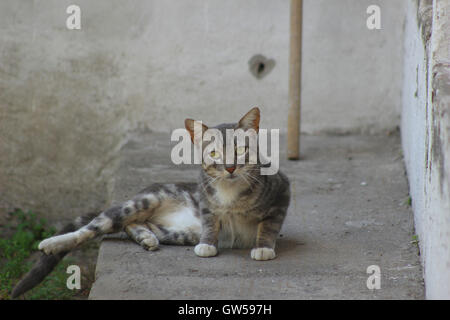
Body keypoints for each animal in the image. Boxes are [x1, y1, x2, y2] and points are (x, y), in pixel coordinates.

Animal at [12, 107, 292, 298]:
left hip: (176, 232)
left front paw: (263, 247)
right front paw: (208, 244)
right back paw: (52, 242)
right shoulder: (205, 200)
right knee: (95, 226)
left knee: (132, 225)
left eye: (241, 150)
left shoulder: (282, 192)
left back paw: (146, 237)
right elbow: (211, 219)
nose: (231, 168)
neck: (230, 192)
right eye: (214, 153)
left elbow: (269, 225)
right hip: (143, 202)